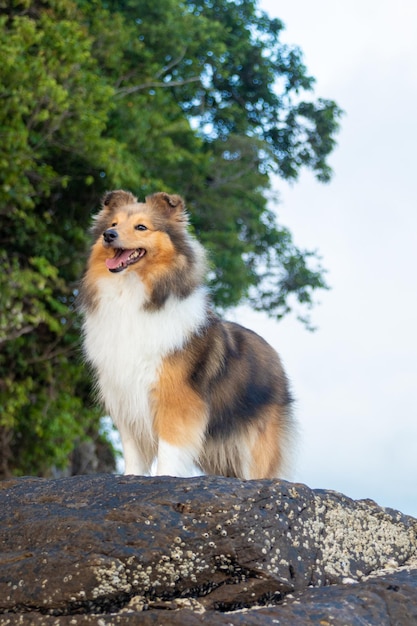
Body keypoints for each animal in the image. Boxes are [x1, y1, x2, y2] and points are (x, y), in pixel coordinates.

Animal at [78, 188, 292, 476]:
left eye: (141, 227)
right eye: (112, 224)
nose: (108, 236)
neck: (132, 296)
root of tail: (274, 356)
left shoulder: (175, 401)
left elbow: (169, 451)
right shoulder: (126, 400)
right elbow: (133, 454)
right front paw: (130, 477)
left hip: (256, 446)